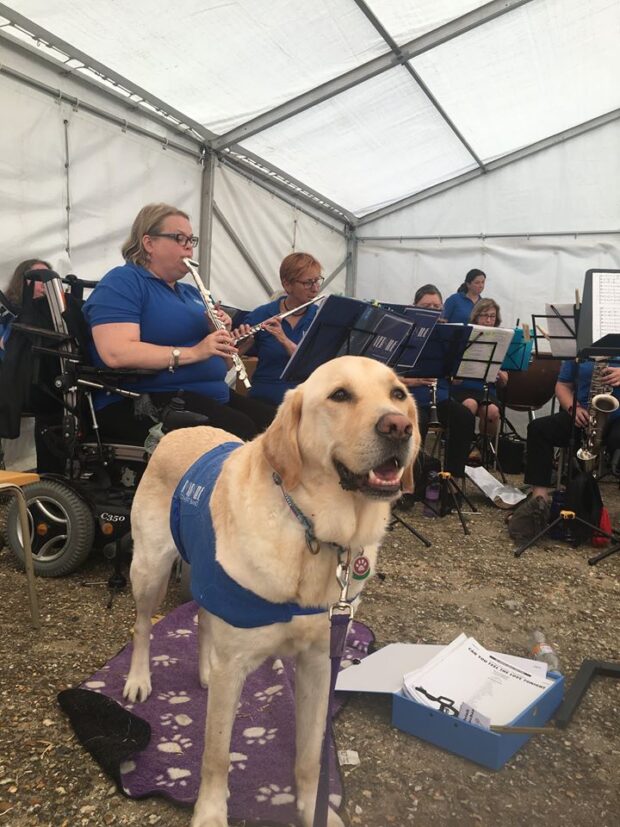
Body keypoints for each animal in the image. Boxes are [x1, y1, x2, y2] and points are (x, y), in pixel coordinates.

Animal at [123, 356, 418, 827]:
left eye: (398, 394)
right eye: (339, 395)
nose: (398, 426)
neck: (313, 532)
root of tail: (179, 429)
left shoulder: (319, 664)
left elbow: (311, 754)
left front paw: (311, 807)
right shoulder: (235, 666)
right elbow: (216, 756)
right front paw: (210, 814)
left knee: (203, 616)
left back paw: (203, 670)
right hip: (150, 568)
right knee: (142, 627)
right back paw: (138, 679)